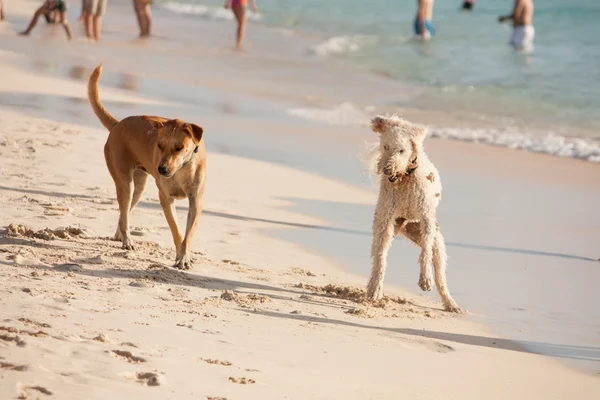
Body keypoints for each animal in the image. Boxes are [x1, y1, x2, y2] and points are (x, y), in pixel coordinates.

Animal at [86, 63, 209, 268]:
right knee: (124, 211)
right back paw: (127, 240)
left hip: (139, 187)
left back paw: (120, 235)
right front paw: (180, 256)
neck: (181, 170)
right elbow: (176, 230)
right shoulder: (166, 198)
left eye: (179, 147)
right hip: (124, 182)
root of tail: (117, 125)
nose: (161, 170)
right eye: (159, 145)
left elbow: (188, 233)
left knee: (124, 213)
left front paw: (185, 257)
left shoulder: (196, 201)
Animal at [366, 114, 464, 314]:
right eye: (385, 146)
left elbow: (425, 250)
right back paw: (374, 288)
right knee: (379, 255)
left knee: (440, 275)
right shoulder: (386, 219)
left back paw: (451, 303)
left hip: (433, 240)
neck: (405, 177)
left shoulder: (426, 218)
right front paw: (375, 288)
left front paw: (425, 279)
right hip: (392, 226)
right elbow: (380, 257)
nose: (387, 169)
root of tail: (406, 221)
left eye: (402, 150)